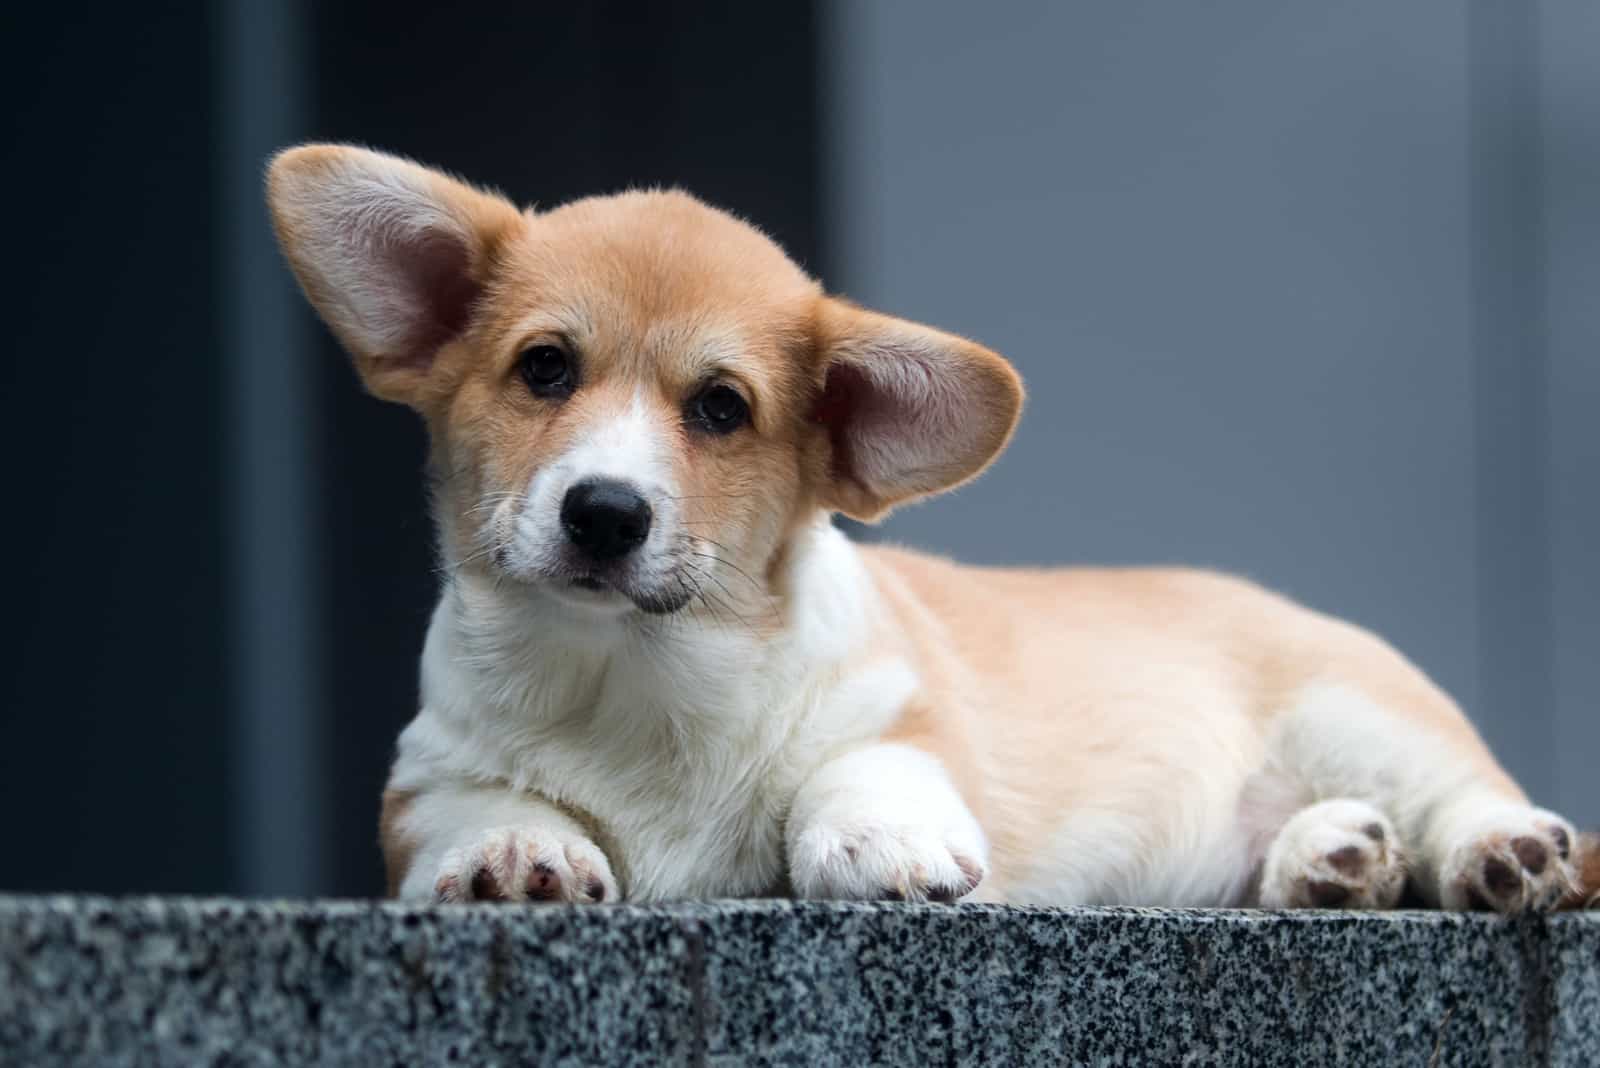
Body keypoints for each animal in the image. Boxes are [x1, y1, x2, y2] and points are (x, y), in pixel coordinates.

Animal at [265, 143, 1587, 908]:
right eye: (544, 368)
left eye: (720, 408)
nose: (604, 513)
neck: (633, 676)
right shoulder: (425, 774)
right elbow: (477, 806)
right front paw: (510, 852)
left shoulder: (896, 715)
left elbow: (858, 767)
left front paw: (877, 843)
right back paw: (1328, 863)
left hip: (1356, 709)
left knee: (1470, 792)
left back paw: (1493, 854)